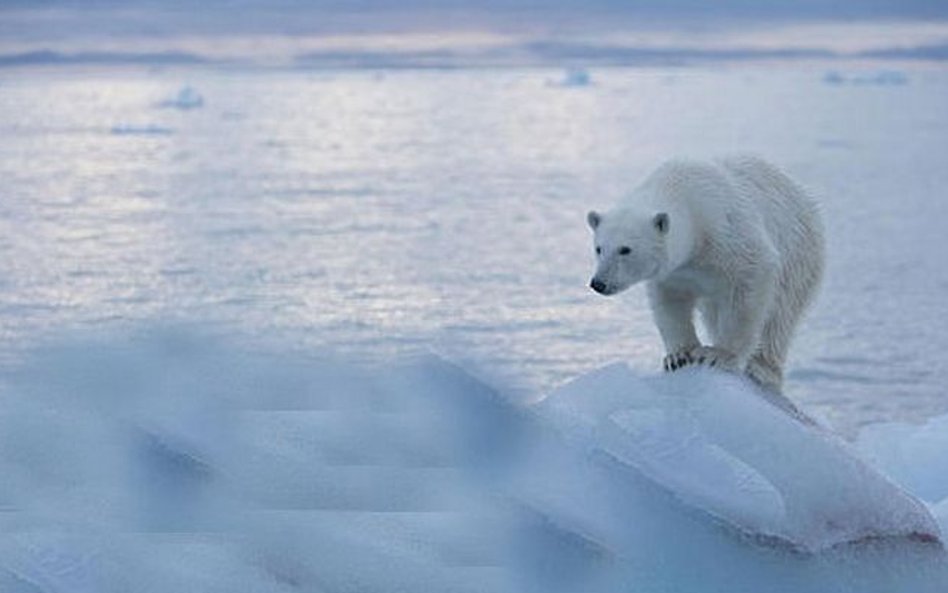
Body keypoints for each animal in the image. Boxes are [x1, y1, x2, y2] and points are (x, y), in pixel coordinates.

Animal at [588, 157, 824, 396]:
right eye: (599, 248)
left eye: (625, 249)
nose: (599, 283)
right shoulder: (675, 273)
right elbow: (670, 303)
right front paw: (678, 356)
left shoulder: (728, 231)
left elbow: (752, 279)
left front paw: (718, 355)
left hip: (798, 253)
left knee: (779, 317)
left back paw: (762, 371)